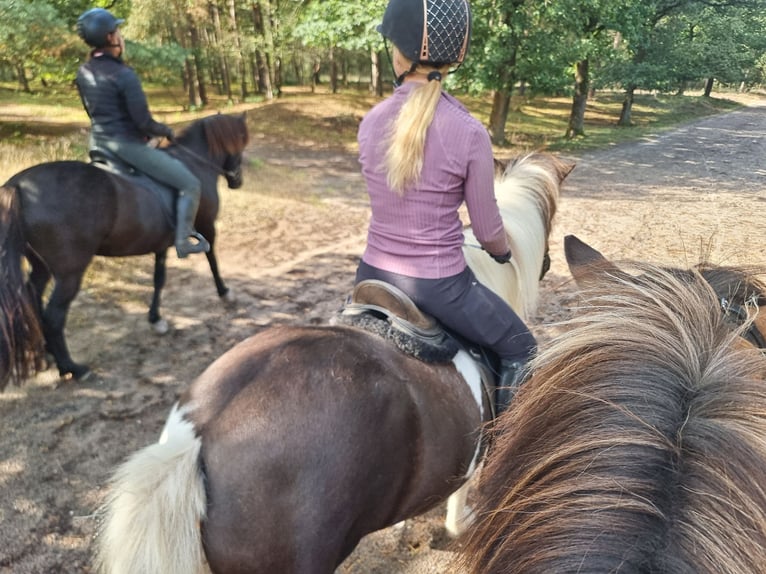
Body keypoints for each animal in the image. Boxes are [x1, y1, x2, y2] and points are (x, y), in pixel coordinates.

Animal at [0, 113, 249, 387]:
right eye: (241, 141)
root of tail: (19, 186)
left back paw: (47, 353)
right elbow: (212, 258)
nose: (237, 180)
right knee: (54, 317)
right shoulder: (207, 226)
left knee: (34, 297)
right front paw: (225, 292)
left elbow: (159, 278)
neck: (194, 161)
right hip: (69, 273)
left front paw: (156, 319)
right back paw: (73, 368)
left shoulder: (162, 243)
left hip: (41, 265)